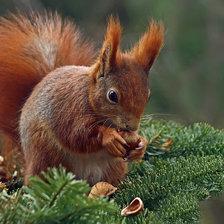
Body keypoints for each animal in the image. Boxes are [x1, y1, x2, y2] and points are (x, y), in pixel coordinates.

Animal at [0, 11, 164, 186]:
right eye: (112, 95)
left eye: (148, 95)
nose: (132, 127)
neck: (88, 95)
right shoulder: (70, 108)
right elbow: (77, 135)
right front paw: (109, 137)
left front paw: (141, 144)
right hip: (45, 156)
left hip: (115, 167)